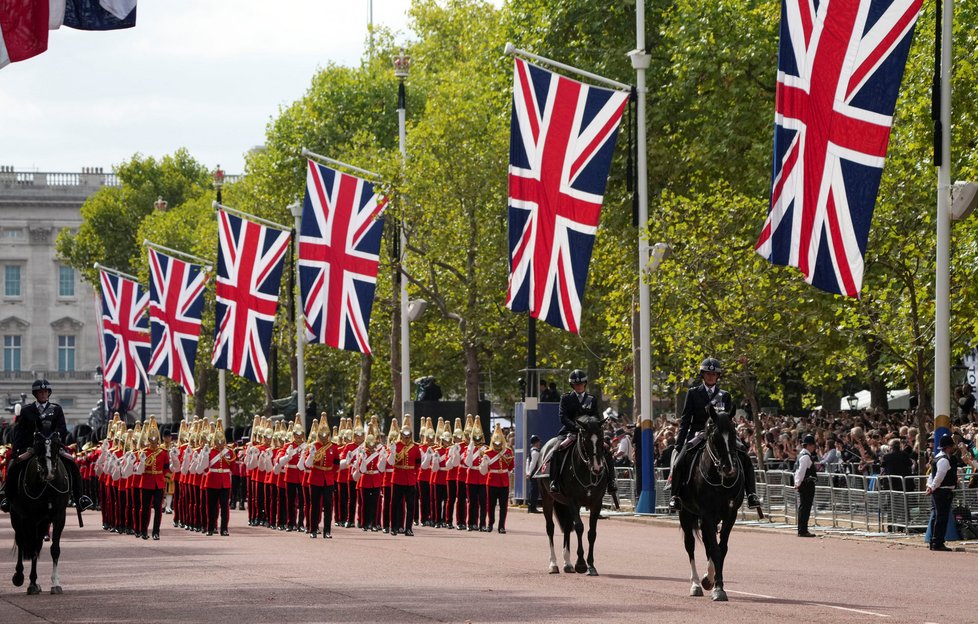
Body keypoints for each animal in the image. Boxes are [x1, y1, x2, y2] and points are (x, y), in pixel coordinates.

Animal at [9, 434, 72, 596]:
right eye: (37, 446)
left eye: (57, 446)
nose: (48, 473)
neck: (47, 487)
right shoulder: (31, 519)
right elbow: (31, 549)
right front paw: (31, 583)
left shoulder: (58, 516)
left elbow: (54, 549)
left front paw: (55, 584)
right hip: (17, 518)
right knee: (21, 541)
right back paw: (19, 576)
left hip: (42, 522)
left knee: (37, 544)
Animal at [532, 416, 608, 576]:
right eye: (585, 439)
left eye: (602, 437)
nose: (597, 468)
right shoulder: (573, 501)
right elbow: (579, 527)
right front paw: (581, 564)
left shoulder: (596, 503)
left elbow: (592, 533)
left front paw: (591, 565)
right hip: (547, 499)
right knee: (550, 527)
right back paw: (553, 564)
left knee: (567, 527)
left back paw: (567, 563)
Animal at [680, 408, 740, 604]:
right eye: (715, 437)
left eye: (734, 433)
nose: (729, 468)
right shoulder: (707, 514)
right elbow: (714, 549)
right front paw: (718, 588)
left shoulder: (730, 514)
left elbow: (720, 548)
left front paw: (714, 582)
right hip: (685, 514)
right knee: (690, 544)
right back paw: (696, 584)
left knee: (707, 543)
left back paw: (707, 579)